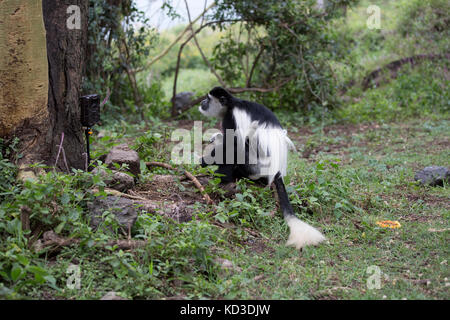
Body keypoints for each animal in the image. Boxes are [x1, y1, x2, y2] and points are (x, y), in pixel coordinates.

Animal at [199, 87, 326, 250]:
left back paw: (223, 179)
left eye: (208, 99)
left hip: (254, 165)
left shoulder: (232, 118)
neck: (231, 105)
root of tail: (277, 171)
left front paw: (202, 162)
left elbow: (232, 143)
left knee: (239, 148)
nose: (202, 102)